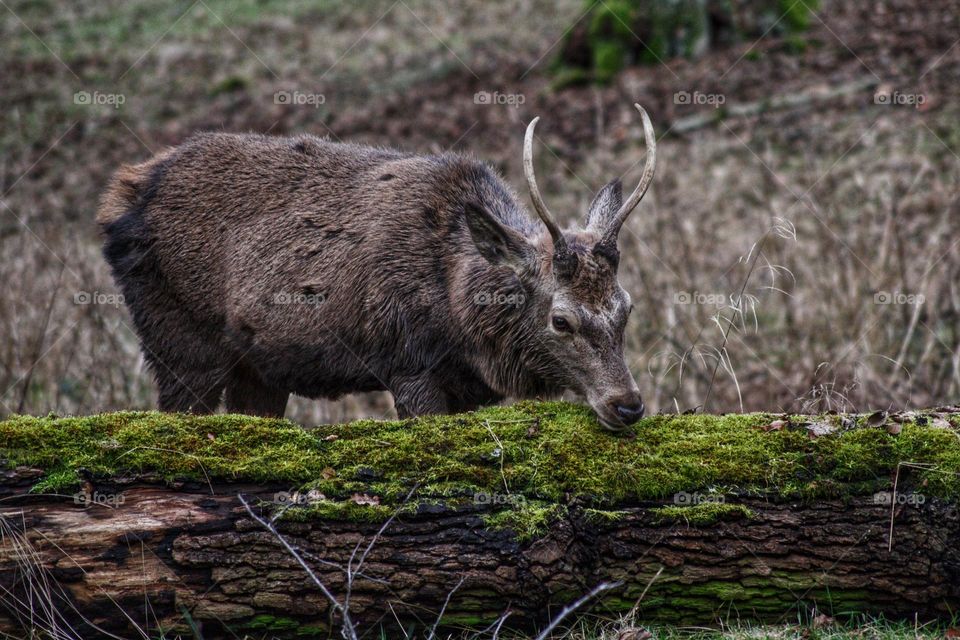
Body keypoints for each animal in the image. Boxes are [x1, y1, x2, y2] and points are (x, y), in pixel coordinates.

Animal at [101, 102, 656, 430]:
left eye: (627, 307)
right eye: (561, 320)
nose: (628, 404)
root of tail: (119, 198)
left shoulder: (467, 389)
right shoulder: (405, 362)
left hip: (258, 366)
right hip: (176, 337)